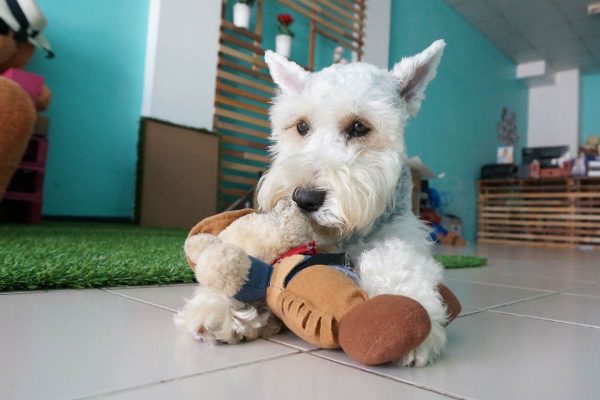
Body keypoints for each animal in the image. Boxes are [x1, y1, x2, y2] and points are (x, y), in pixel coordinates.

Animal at [178, 39, 450, 366]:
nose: (304, 199)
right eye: (302, 126)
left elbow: (398, 260)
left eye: (359, 127)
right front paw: (218, 305)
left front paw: (408, 310)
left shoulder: (404, 235)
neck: (347, 237)